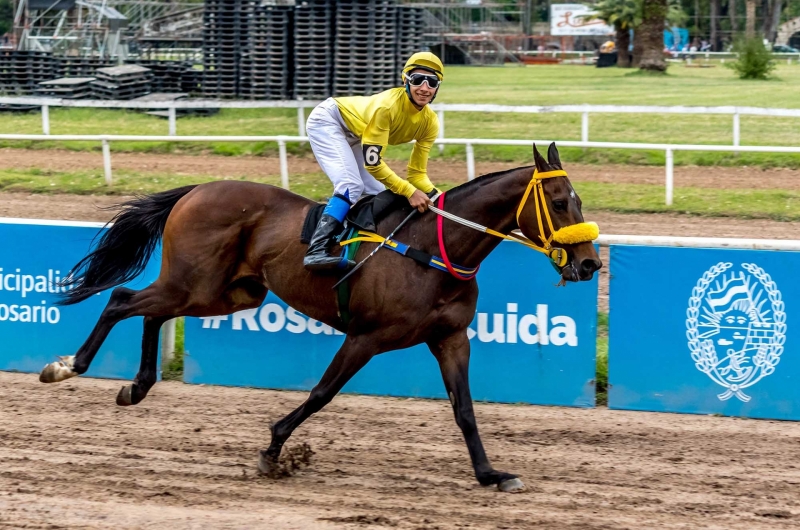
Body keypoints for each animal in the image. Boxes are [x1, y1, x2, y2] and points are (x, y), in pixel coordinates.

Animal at [39, 141, 600, 490]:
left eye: (578, 198)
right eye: (558, 202)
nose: (590, 263)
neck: (435, 249)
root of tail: (197, 189)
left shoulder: (450, 338)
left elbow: (464, 410)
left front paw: (490, 474)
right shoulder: (367, 337)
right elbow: (321, 393)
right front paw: (272, 451)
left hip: (226, 293)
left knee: (149, 311)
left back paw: (136, 386)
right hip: (197, 283)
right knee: (122, 300)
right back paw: (66, 366)